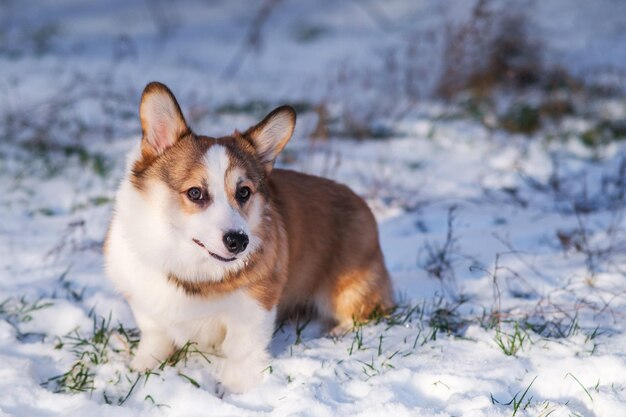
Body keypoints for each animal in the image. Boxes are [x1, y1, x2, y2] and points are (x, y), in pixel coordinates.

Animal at [105, 82, 392, 394]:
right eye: (195, 193)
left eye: (243, 192)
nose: (238, 241)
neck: (192, 267)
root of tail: (362, 203)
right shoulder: (144, 302)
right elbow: (154, 335)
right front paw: (142, 368)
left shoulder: (254, 307)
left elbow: (242, 351)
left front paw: (237, 390)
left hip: (348, 291)